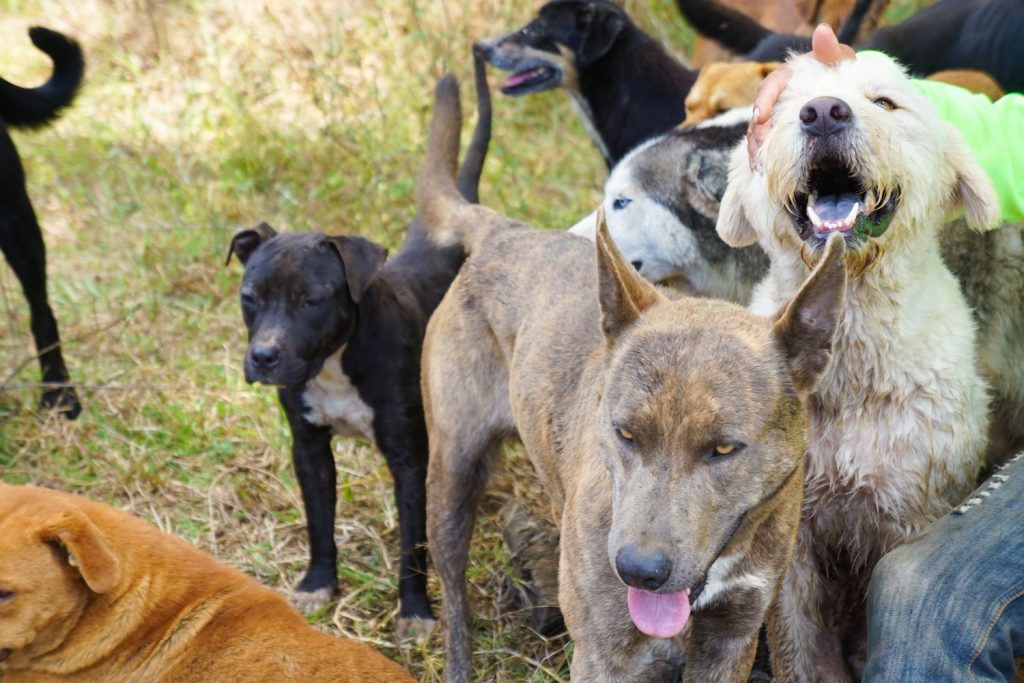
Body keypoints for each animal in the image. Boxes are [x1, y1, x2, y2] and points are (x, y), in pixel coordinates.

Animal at [413, 76, 847, 683]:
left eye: (724, 449)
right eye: (624, 434)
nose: (639, 571)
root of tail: (503, 231)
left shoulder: (732, 640)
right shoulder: (603, 654)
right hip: (453, 469)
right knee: (453, 589)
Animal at [716, 50, 995, 679]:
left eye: (885, 102)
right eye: (787, 107)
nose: (823, 113)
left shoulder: (912, 514)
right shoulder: (788, 538)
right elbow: (799, 648)